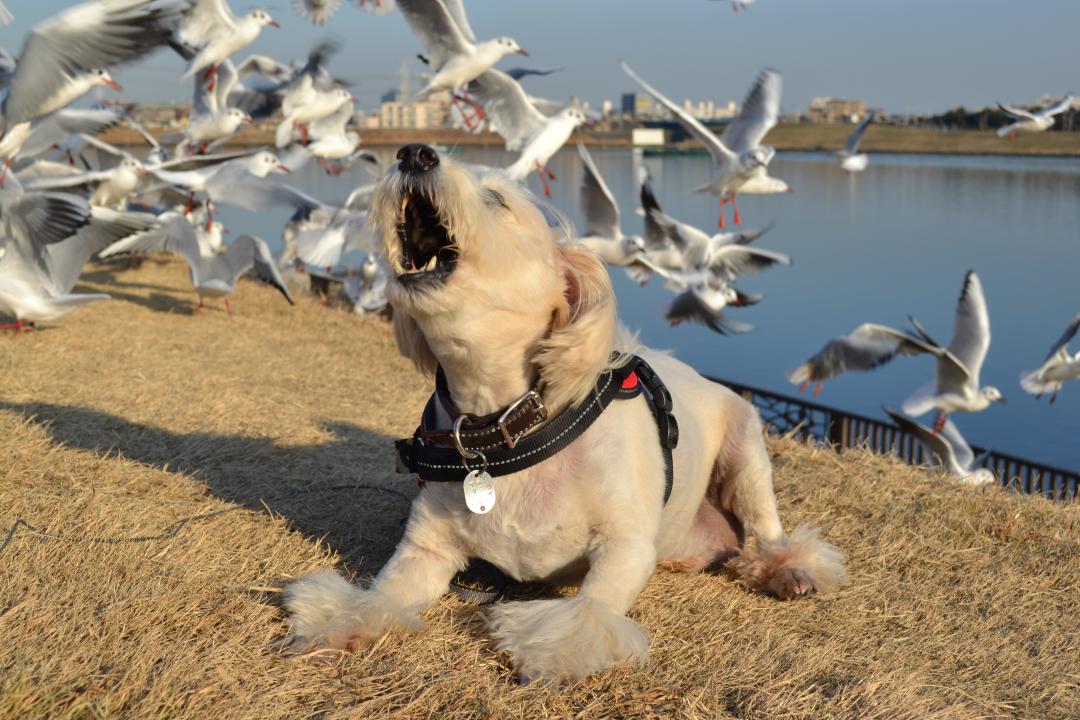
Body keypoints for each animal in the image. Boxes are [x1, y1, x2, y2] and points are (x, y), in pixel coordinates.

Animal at [280, 144, 842, 682]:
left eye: (497, 199)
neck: (503, 427)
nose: (413, 153)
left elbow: (594, 605)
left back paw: (787, 569)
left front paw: (556, 650)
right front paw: (340, 622)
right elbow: (382, 592)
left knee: (766, 529)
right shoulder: (426, 549)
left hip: (746, 451)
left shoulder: (625, 542)